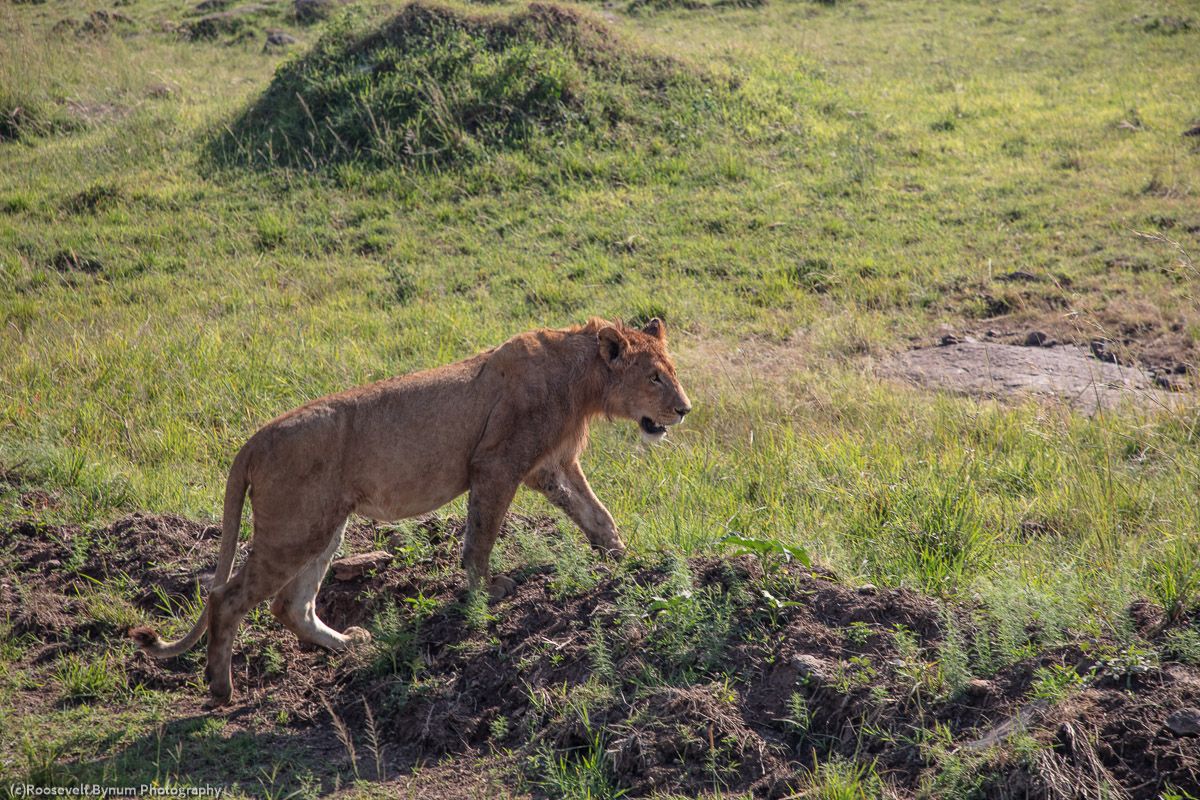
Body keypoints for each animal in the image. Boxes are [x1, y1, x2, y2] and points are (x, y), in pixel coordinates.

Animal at [130, 318, 691, 706]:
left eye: (670, 375)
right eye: (654, 378)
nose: (685, 409)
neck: (582, 379)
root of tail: (253, 441)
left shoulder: (548, 466)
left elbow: (596, 513)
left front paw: (620, 558)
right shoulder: (495, 464)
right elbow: (482, 533)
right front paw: (485, 591)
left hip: (323, 528)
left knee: (290, 605)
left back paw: (347, 645)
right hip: (293, 530)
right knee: (226, 598)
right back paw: (220, 688)